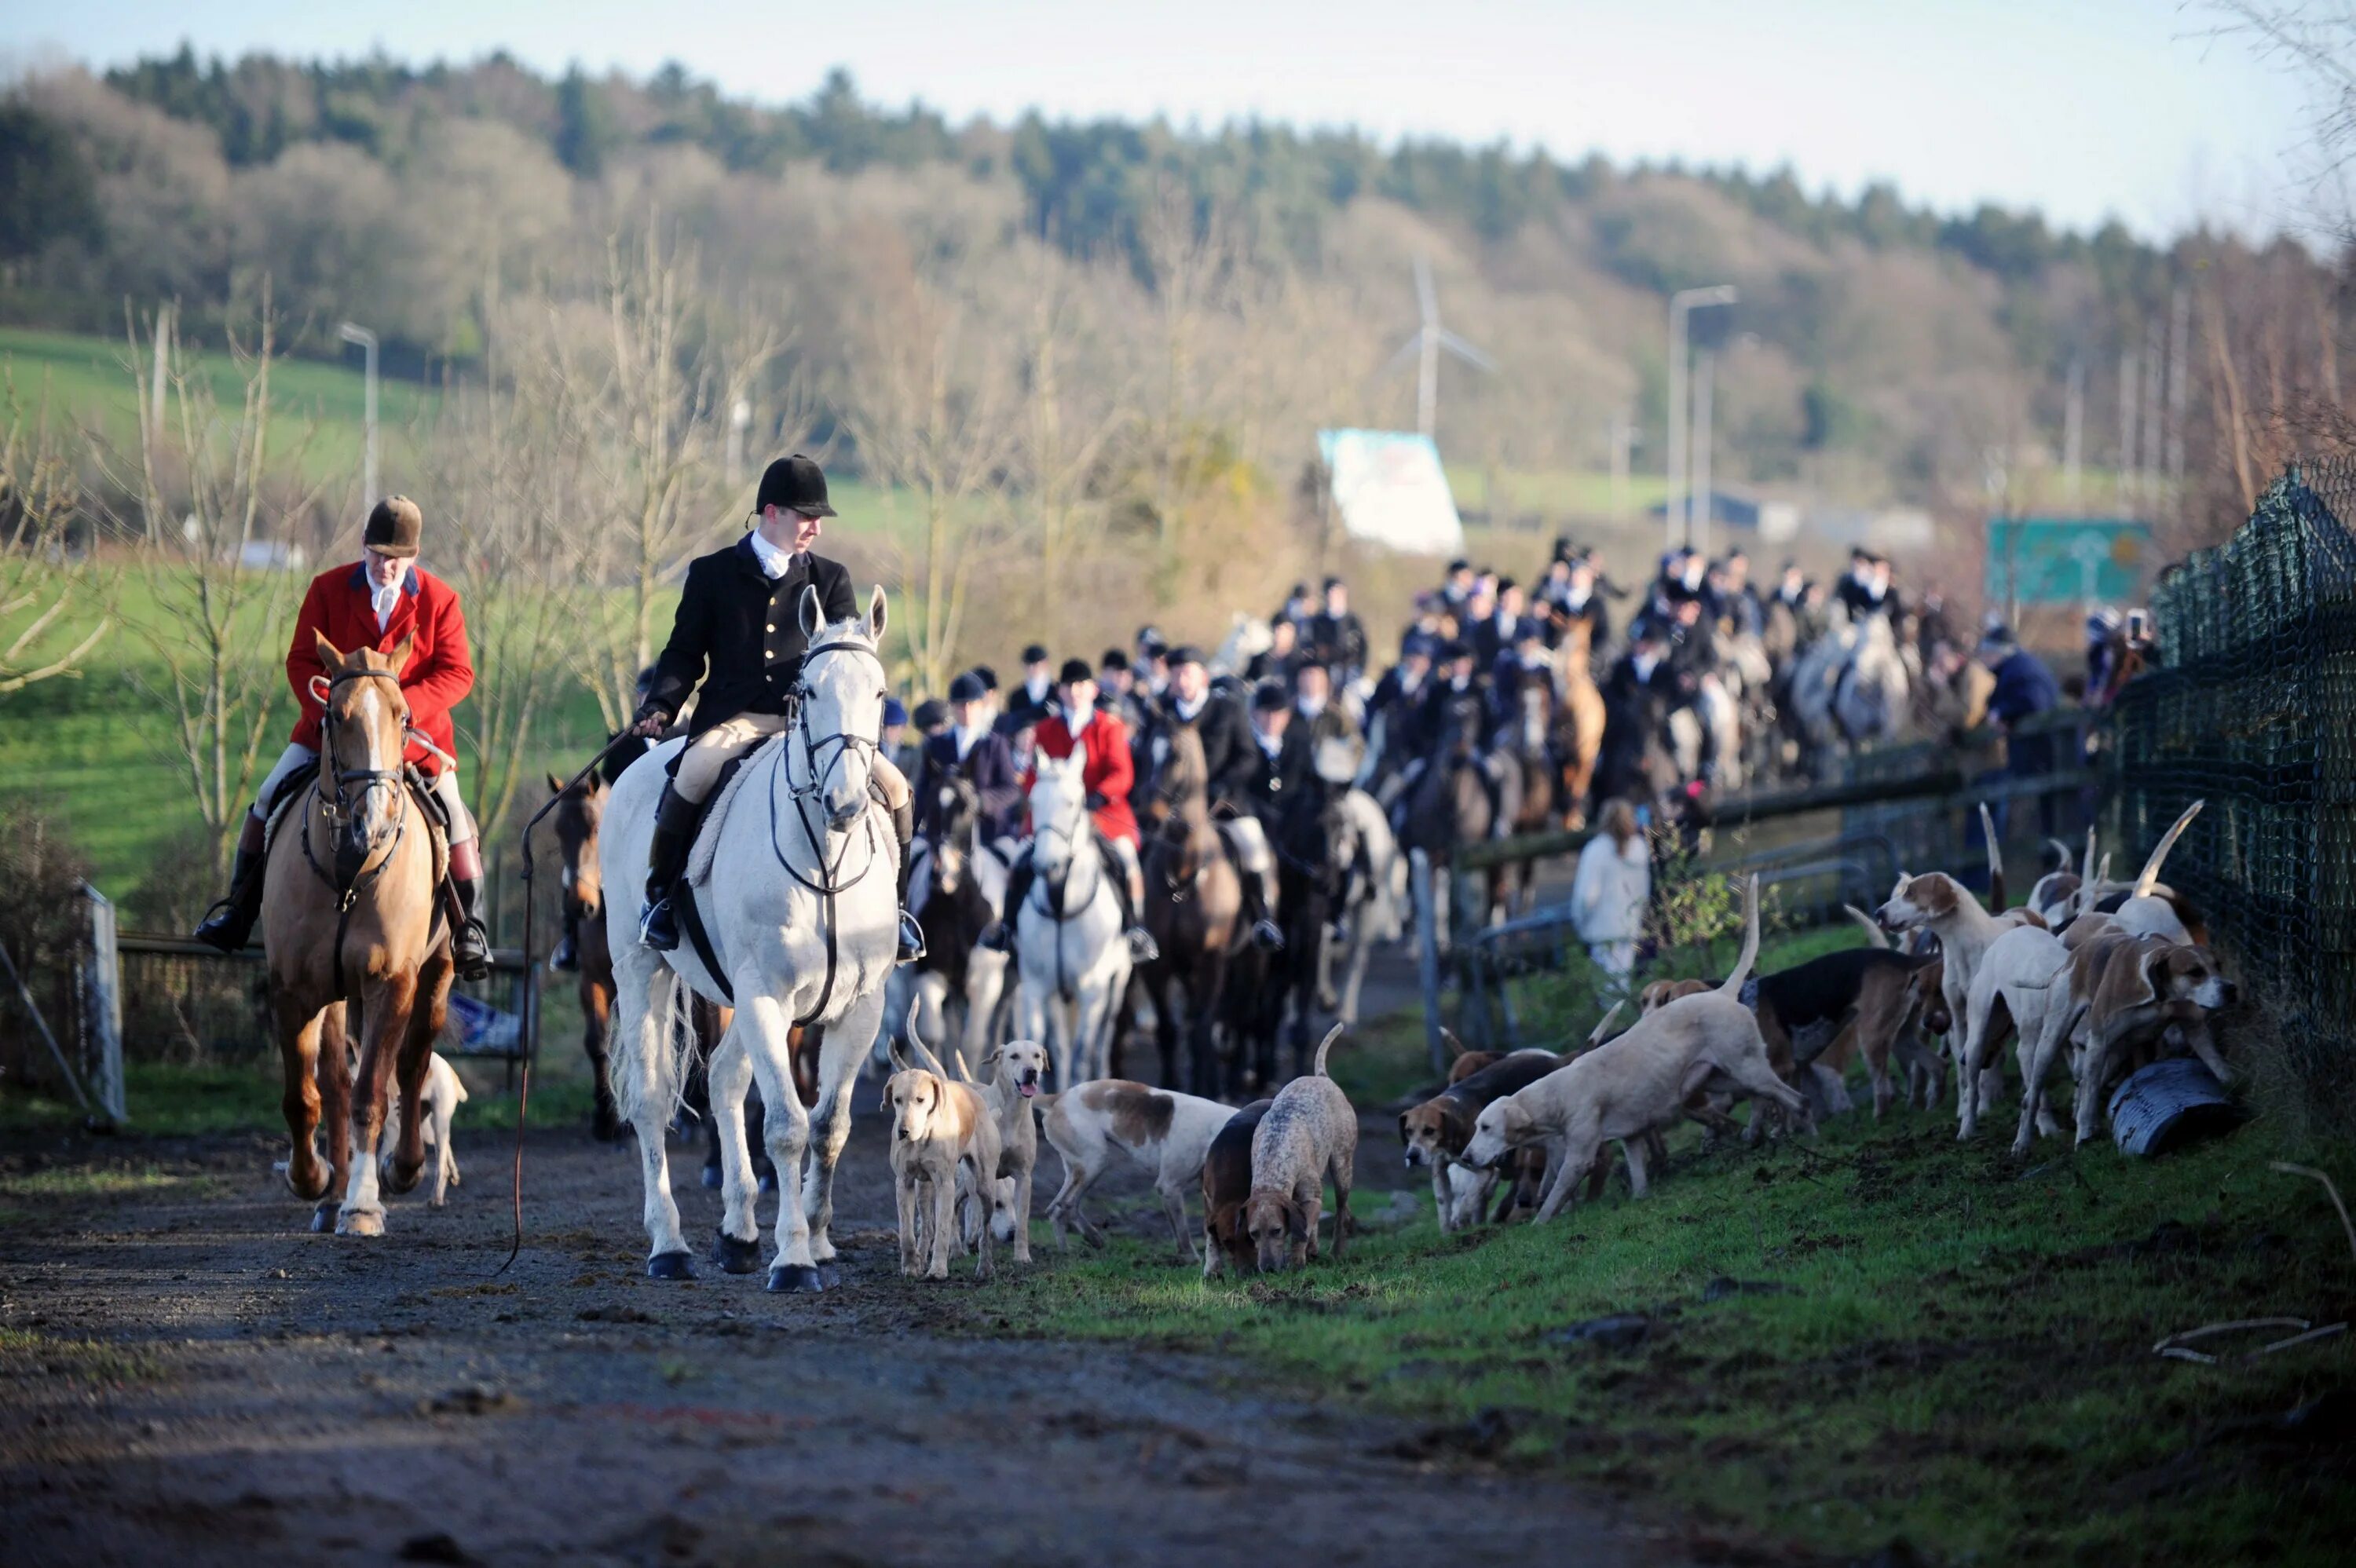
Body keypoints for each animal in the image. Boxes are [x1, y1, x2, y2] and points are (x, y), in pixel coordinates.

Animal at [269, 630, 455, 1224]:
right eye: (336, 714)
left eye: (403, 715)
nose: (374, 820)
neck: (351, 868)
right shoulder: (293, 989)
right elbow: (305, 1097)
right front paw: (312, 1179)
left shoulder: (391, 981)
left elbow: (374, 1091)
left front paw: (366, 1202)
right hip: (333, 994)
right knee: (334, 1081)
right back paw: (333, 1192)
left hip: (436, 975)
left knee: (413, 1063)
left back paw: (403, 1168)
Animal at [598, 579, 900, 1290]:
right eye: (807, 692)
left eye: (878, 693)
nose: (846, 802)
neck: (827, 862)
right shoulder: (766, 995)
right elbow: (787, 1126)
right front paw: (793, 1258)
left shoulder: (860, 1006)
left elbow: (829, 1126)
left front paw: (816, 1237)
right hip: (640, 970)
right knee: (652, 1101)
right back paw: (670, 1246)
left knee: (727, 1080)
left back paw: (736, 1233)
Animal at [1008, 753, 1126, 1087]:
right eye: (1033, 801)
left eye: (1072, 803)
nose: (1046, 865)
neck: (1061, 903)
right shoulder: (1039, 985)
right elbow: (1048, 1048)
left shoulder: (1093, 990)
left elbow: (1080, 1055)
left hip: (1117, 984)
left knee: (1104, 1038)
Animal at [1131, 725, 1244, 1092]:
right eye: (1143, 751)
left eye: (1177, 756)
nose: (1148, 815)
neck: (1182, 875)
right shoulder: (1158, 964)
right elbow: (1170, 1029)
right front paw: (1171, 1085)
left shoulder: (1212, 960)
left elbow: (1201, 1029)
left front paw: (1205, 1088)